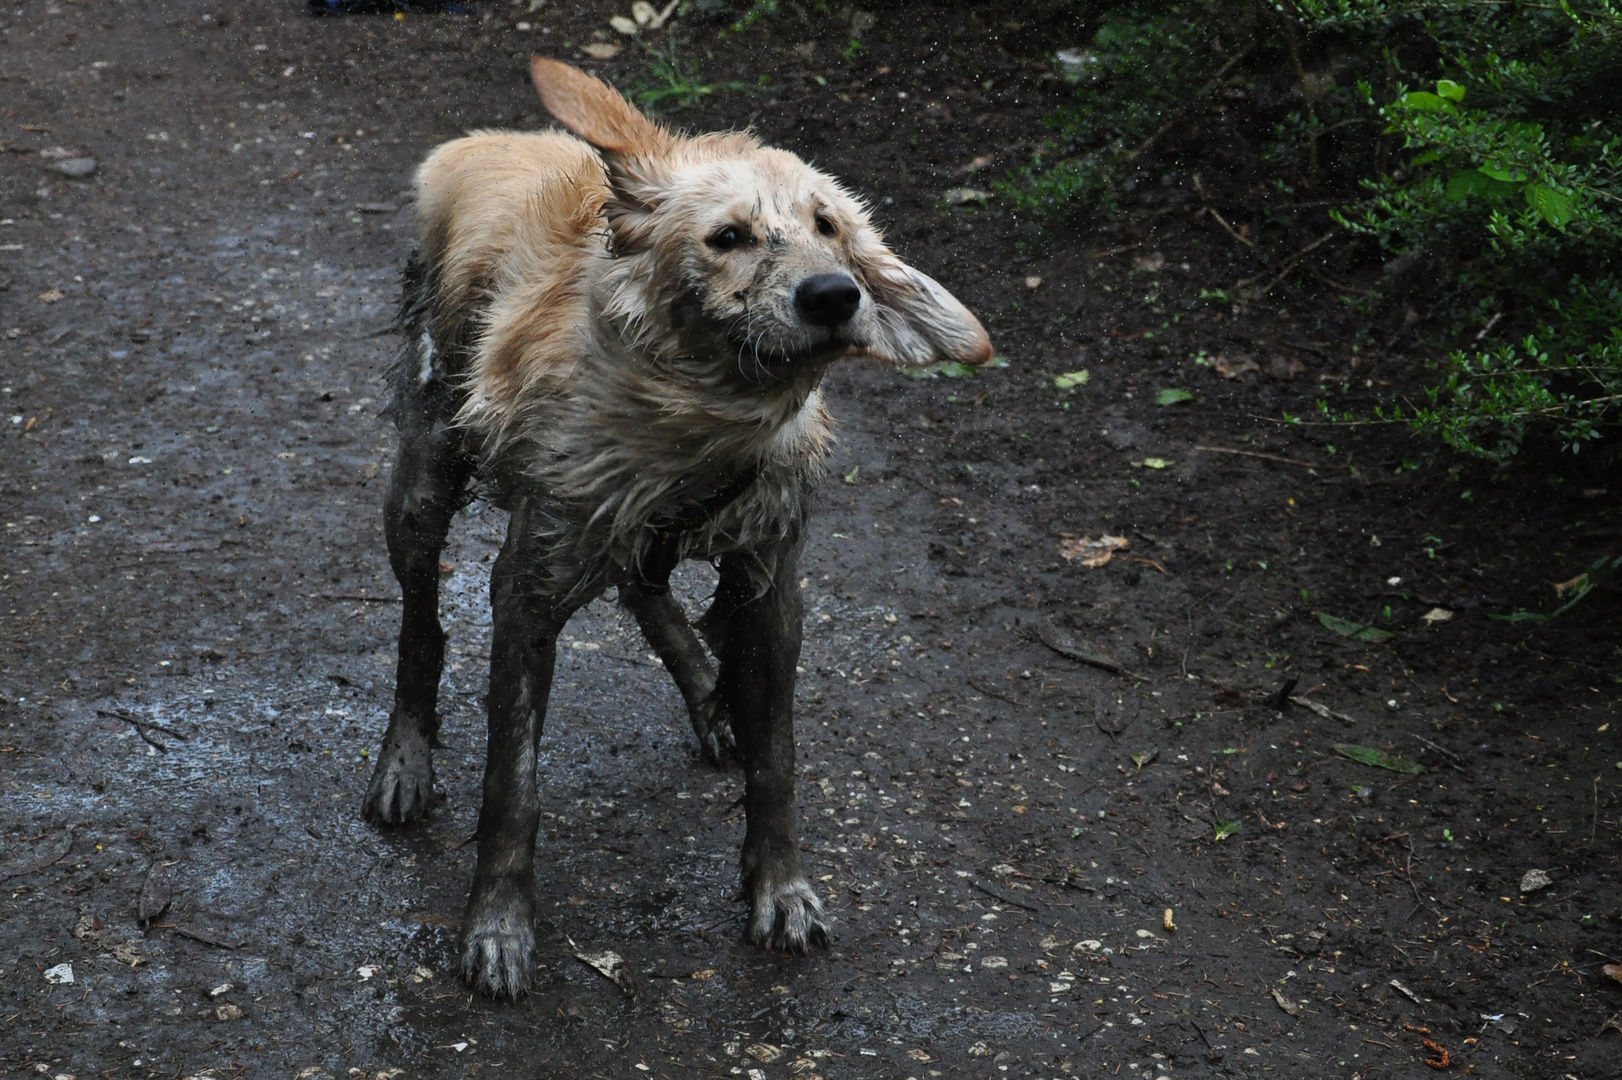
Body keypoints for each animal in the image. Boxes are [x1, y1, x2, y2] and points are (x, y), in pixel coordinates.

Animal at [361, 58, 986, 998]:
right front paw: (498, 928)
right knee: (421, 626)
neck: (695, 430)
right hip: (423, 485)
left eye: (828, 227)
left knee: (645, 588)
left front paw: (779, 888)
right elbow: (513, 784)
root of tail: (479, 146)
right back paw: (405, 760)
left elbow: (777, 758)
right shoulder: (528, 587)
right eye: (727, 237)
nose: (835, 295)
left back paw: (712, 699)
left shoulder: (771, 580)